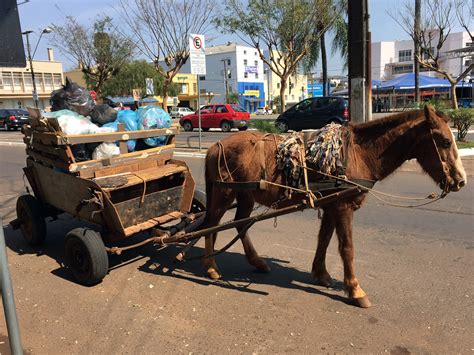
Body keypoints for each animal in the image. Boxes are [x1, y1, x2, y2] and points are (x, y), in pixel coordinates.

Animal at [200, 104, 466, 308]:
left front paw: (321, 274)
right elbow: (346, 248)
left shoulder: (331, 205)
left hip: (245, 195)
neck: (359, 153)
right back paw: (211, 267)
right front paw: (355, 290)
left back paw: (256, 262)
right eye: (444, 141)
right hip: (224, 194)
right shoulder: (343, 207)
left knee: (239, 223)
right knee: (211, 225)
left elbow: (325, 240)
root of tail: (213, 147)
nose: (461, 180)